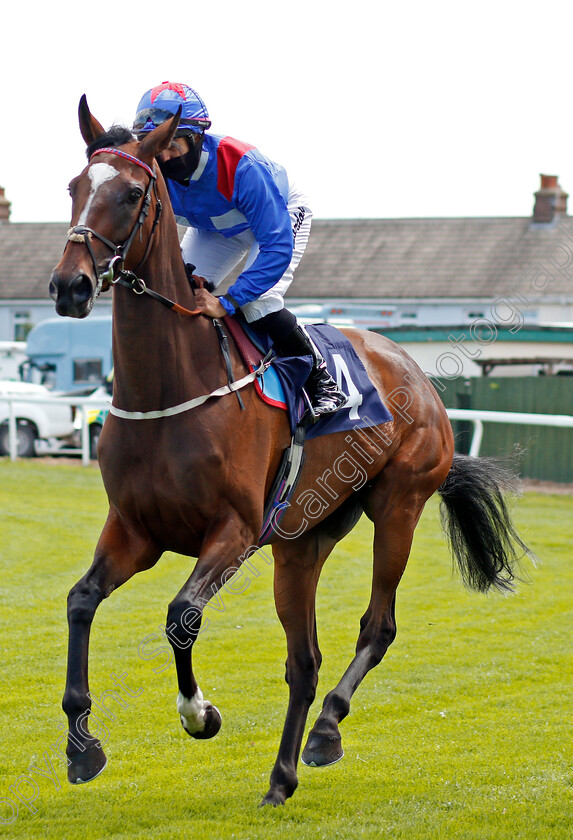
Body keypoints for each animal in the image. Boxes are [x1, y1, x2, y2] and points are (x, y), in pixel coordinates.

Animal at [49, 97, 532, 808]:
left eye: (133, 193)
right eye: (74, 188)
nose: (71, 287)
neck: (174, 385)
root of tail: (416, 373)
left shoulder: (234, 531)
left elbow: (180, 615)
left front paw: (199, 713)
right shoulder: (136, 529)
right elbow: (81, 601)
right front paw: (82, 745)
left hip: (398, 508)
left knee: (377, 627)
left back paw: (327, 731)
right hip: (301, 544)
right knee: (303, 661)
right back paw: (281, 777)